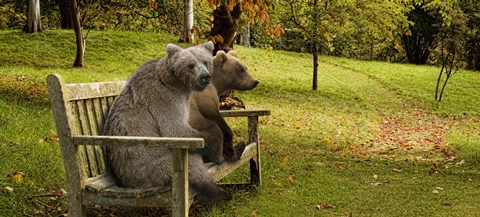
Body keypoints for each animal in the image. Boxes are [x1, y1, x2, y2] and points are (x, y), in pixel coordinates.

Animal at [104, 42, 232, 202]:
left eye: (205, 62)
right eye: (190, 65)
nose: (205, 77)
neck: (178, 84)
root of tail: (125, 183)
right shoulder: (163, 97)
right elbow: (176, 129)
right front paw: (218, 149)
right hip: (147, 161)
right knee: (192, 163)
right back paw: (219, 191)